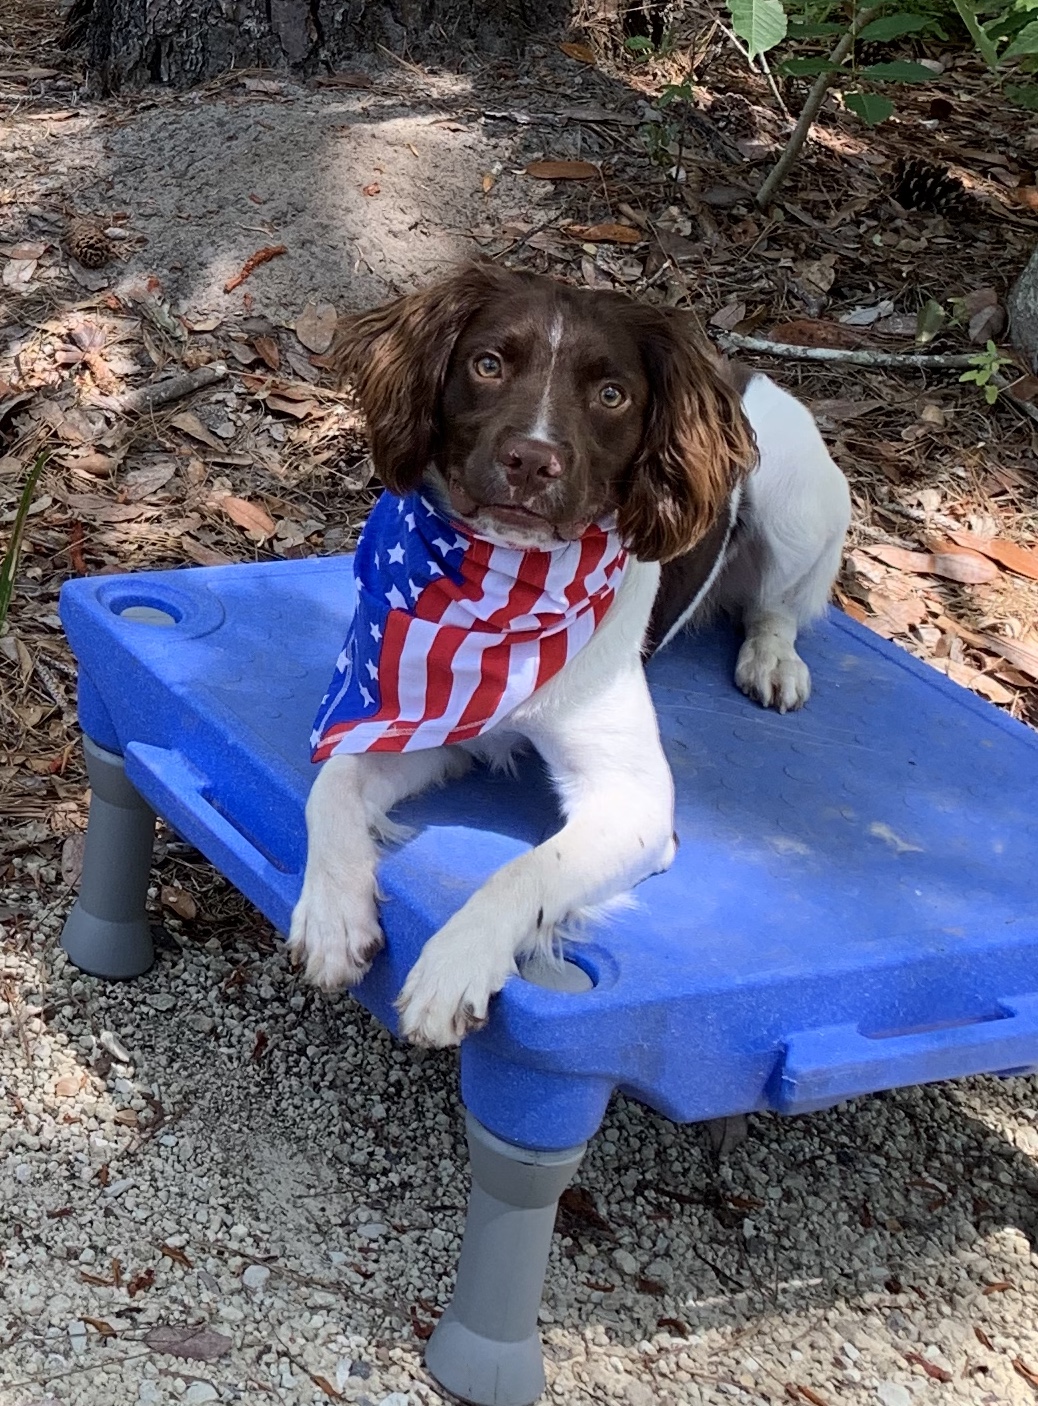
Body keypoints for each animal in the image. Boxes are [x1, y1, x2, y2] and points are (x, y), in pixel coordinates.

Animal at [285, 268, 849, 1051]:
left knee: (778, 607)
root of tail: (739, 373)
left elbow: (525, 871)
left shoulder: (637, 802)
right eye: (488, 364)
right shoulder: (424, 720)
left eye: (612, 395)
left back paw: (772, 661)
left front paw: (454, 965)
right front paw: (334, 916)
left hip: (799, 507)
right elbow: (332, 784)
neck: (506, 588)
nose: (530, 459)